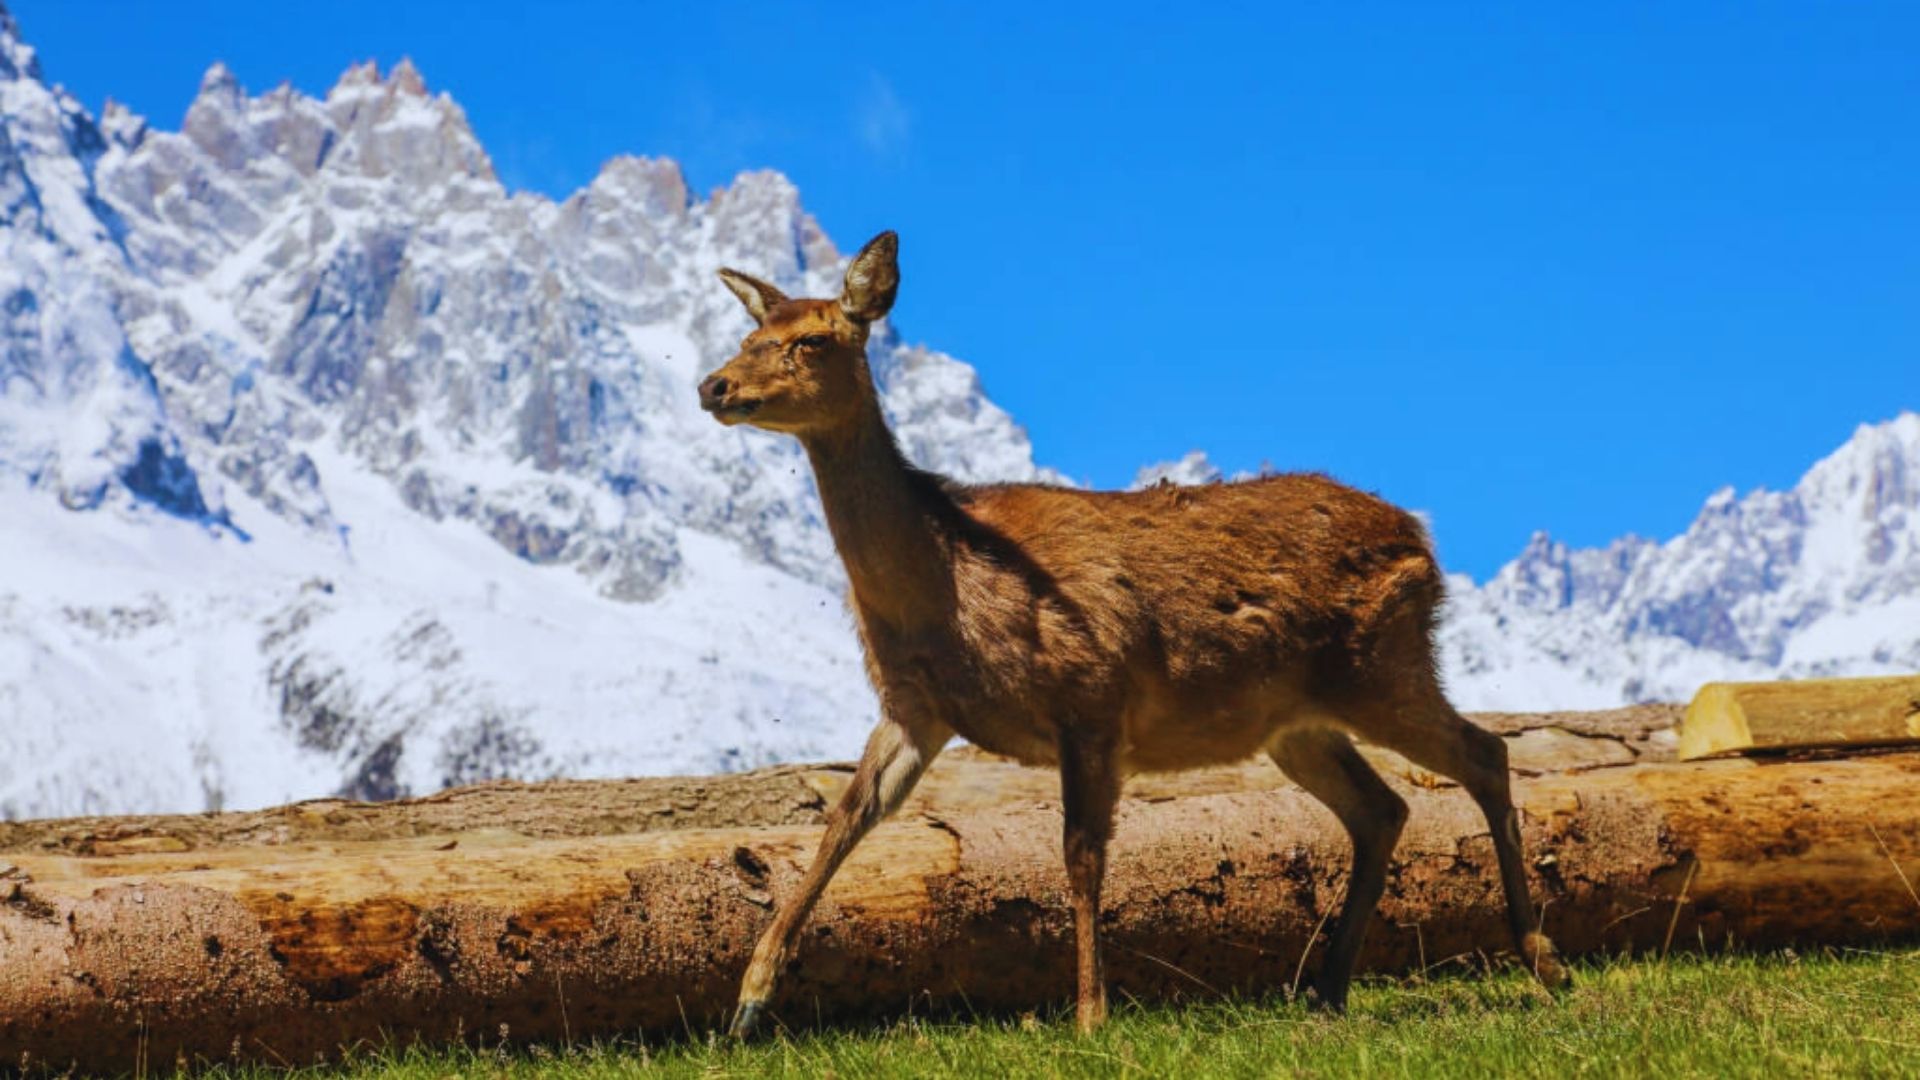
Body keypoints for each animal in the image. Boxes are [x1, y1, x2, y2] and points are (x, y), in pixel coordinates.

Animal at [698, 231, 1568, 1039]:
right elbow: (843, 823)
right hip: (1299, 723)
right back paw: (1327, 989)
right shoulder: (914, 708)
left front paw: (1090, 1014)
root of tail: (1422, 540)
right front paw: (748, 1003)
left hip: (1383, 665)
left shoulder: (1091, 695)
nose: (714, 383)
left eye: (814, 339)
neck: (939, 584)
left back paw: (1542, 960)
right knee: (1382, 808)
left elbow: (1081, 855)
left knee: (1485, 753)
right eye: (751, 333)